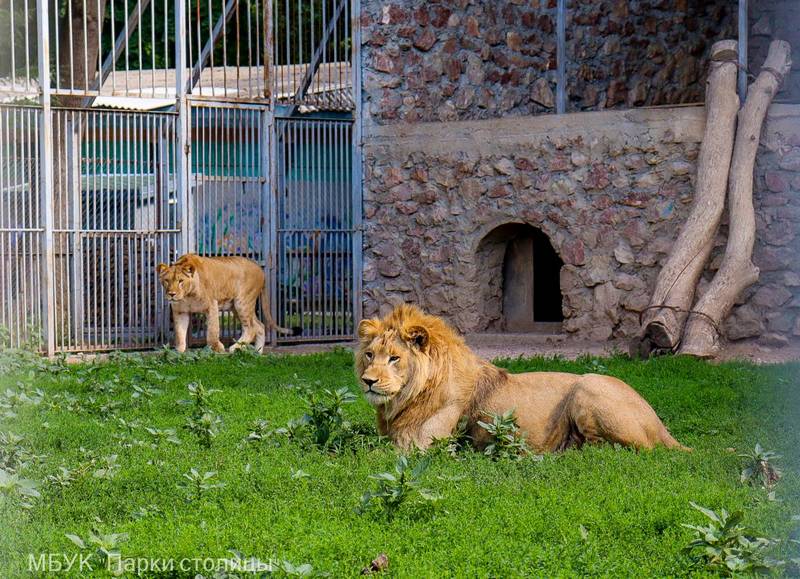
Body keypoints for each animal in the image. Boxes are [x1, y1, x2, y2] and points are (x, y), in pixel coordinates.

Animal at [156, 254, 294, 354]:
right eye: (167, 280)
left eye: (180, 281)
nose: (172, 294)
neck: (187, 295)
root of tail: (259, 268)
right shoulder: (180, 312)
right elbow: (179, 333)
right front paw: (178, 351)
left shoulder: (212, 305)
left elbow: (212, 332)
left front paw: (218, 349)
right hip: (237, 307)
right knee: (259, 326)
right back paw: (257, 352)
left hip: (242, 303)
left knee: (251, 328)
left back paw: (236, 348)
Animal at [356, 304, 688, 454]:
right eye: (370, 355)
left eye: (394, 358)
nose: (367, 381)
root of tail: (660, 425)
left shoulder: (422, 445)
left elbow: (368, 454)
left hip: (588, 385)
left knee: (615, 449)